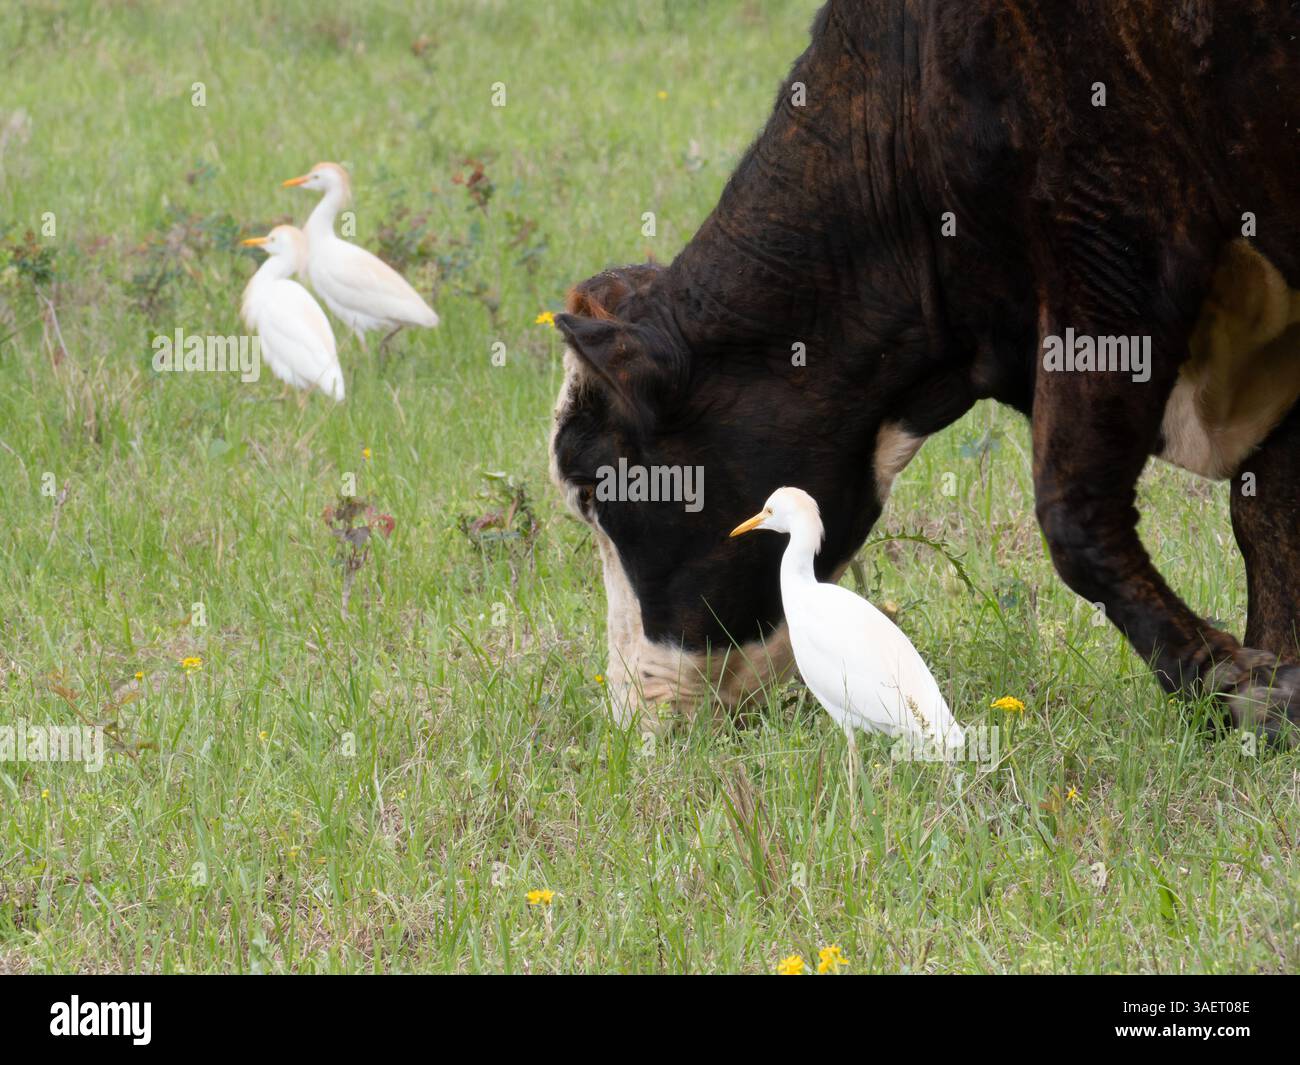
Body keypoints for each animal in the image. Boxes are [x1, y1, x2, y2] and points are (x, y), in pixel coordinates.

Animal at [549, 0, 1300, 742]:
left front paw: (1230, 682)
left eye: (592, 488)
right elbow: (1265, 512)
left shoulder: (1111, 244)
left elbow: (1075, 512)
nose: (631, 712)